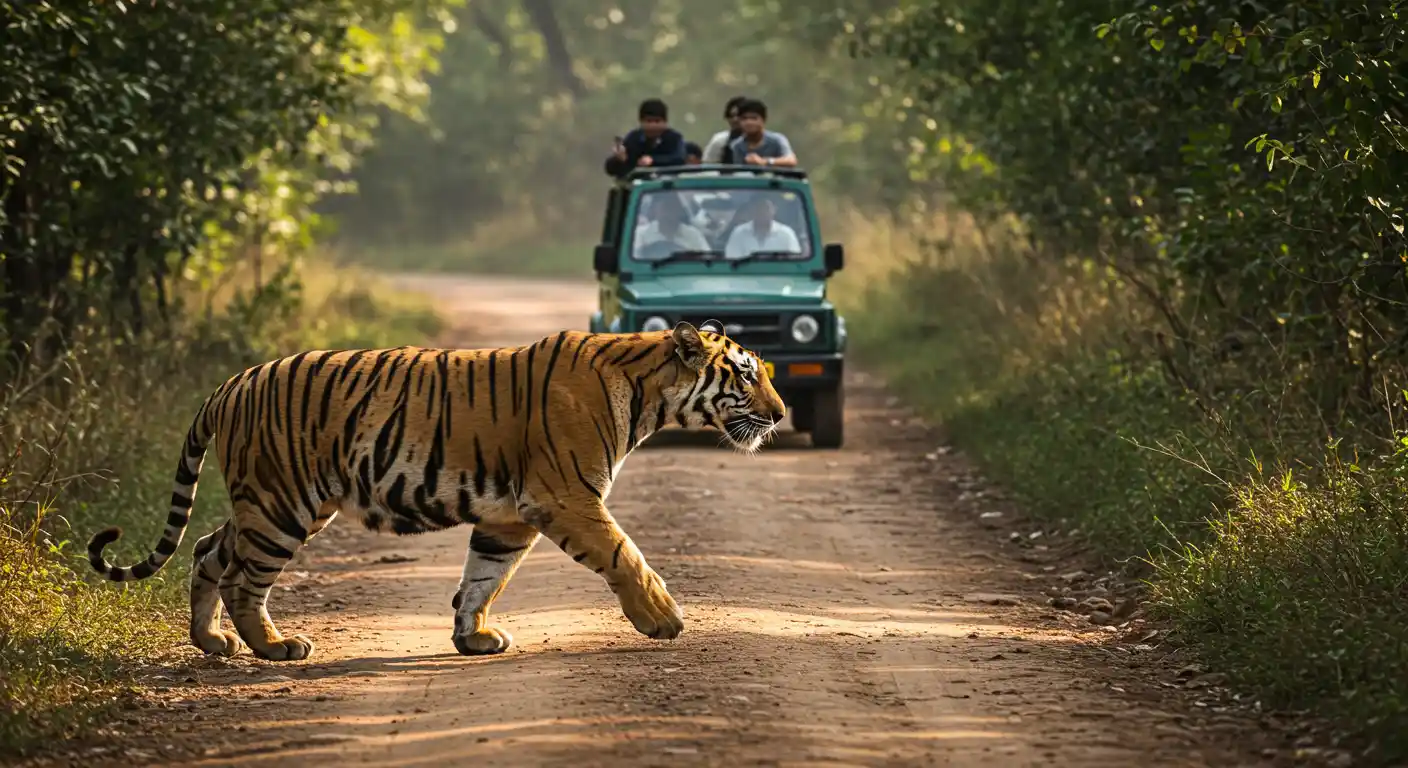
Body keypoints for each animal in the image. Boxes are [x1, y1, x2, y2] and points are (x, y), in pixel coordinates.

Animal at [86, 321, 786, 661]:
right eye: (747, 375)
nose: (780, 416)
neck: (649, 393)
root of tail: (231, 383)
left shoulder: (510, 515)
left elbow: (484, 577)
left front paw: (472, 637)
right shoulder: (564, 496)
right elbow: (625, 554)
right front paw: (664, 618)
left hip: (267, 501)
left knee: (207, 549)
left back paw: (213, 643)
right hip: (283, 503)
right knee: (240, 577)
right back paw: (275, 647)